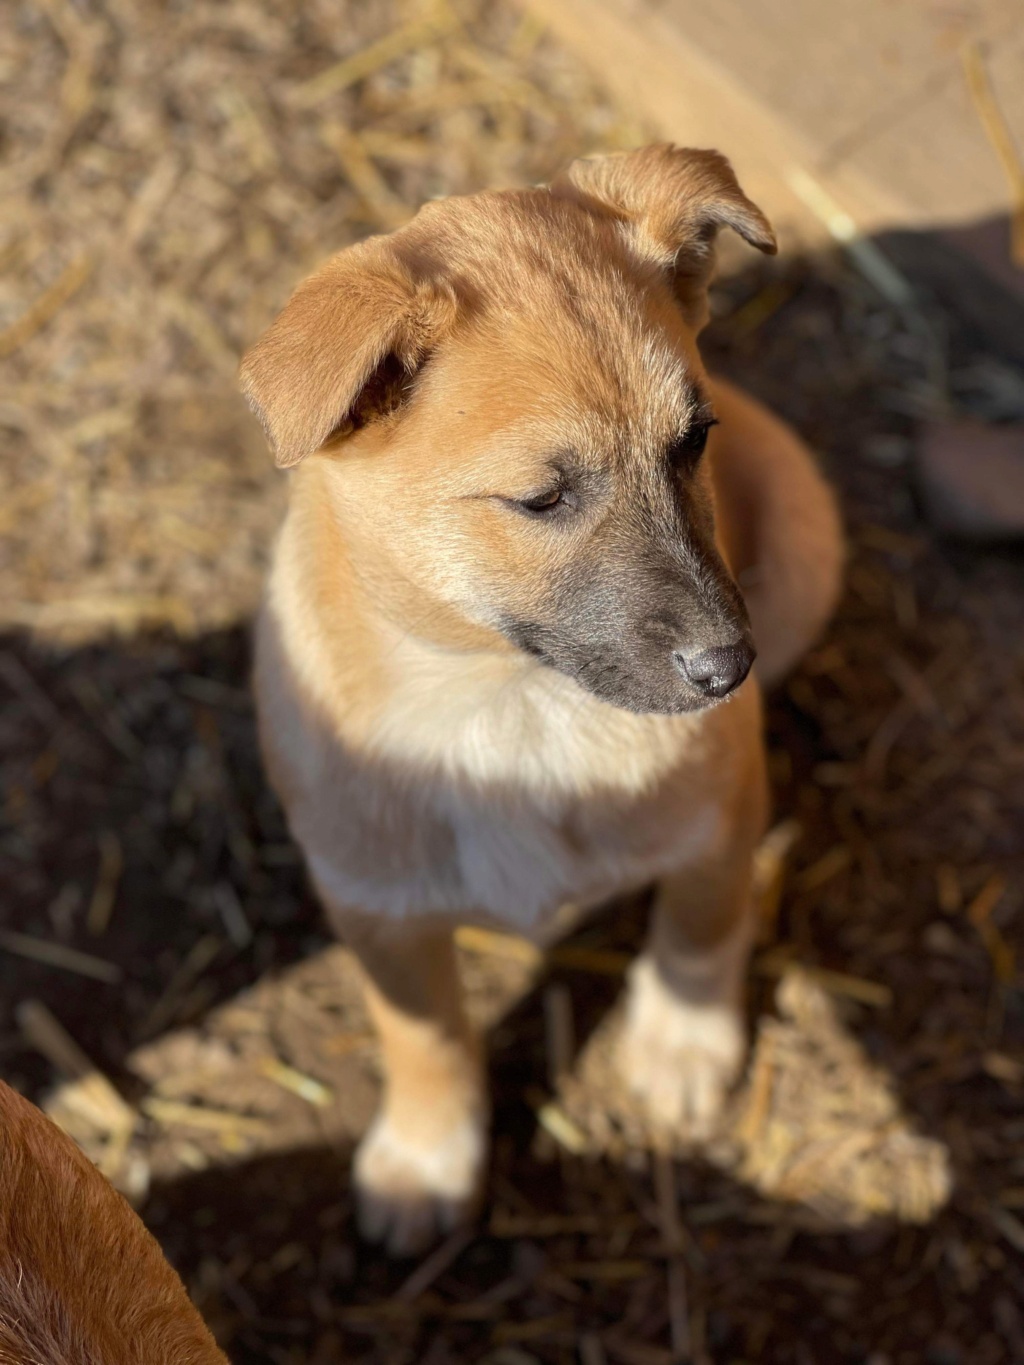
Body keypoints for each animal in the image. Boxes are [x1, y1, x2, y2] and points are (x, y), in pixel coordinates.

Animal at [244, 149, 846, 1255]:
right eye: (540, 498)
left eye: (694, 441)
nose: (725, 670)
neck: (513, 706)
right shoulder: (372, 901)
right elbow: (426, 1034)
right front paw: (427, 1156)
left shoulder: (716, 812)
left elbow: (701, 921)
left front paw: (682, 1047)